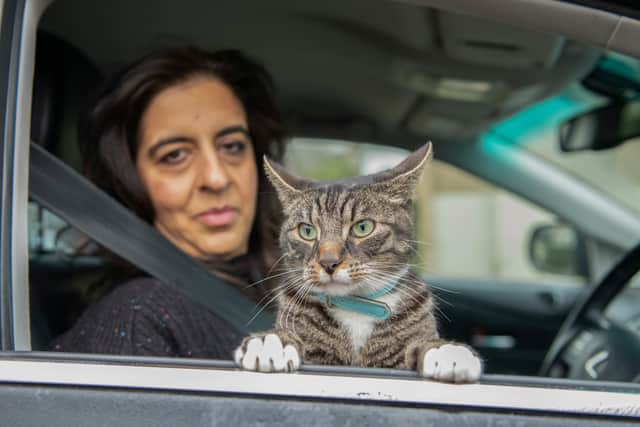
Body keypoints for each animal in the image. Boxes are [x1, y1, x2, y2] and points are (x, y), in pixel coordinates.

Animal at [238, 144, 482, 384]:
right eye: (307, 231)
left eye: (362, 227)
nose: (328, 262)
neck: (357, 306)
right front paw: (270, 342)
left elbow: (422, 342)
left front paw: (447, 351)